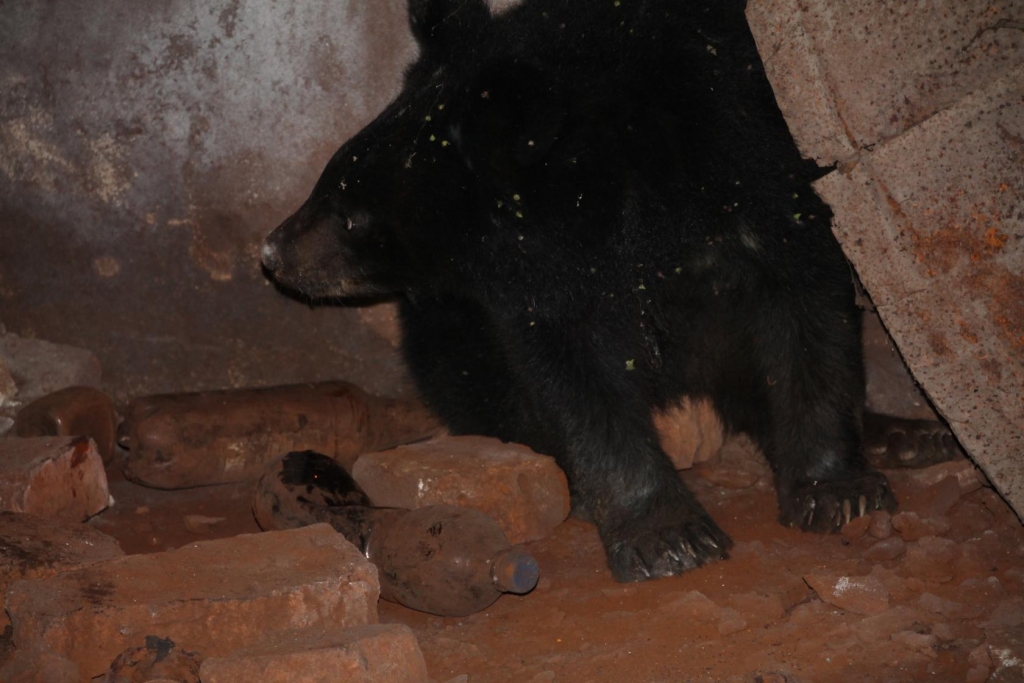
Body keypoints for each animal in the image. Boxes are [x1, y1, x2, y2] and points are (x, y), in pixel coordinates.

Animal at [262, 0, 897, 581]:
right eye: (331, 178)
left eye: (353, 216)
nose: (271, 253)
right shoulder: (541, 283)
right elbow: (576, 382)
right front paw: (668, 537)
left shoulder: (755, 163)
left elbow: (808, 305)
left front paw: (837, 493)